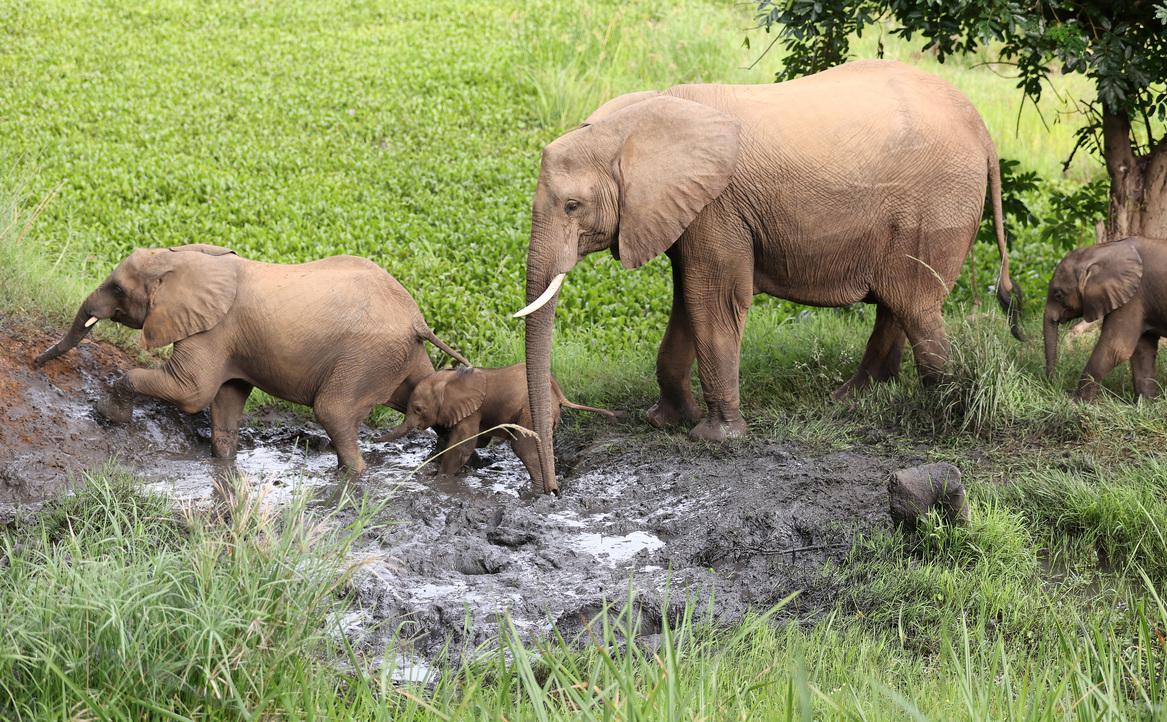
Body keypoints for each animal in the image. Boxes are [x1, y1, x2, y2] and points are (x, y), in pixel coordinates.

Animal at [382, 361, 620, 492]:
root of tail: (558, 392)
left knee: (524, 447)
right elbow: (476, 441)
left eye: (418, 409)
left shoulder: (472, 410)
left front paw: (439, 481)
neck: (452, 378)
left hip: (529, 412)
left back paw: (534, 490)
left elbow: (463, 445)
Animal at [518, 59, 1022, 494]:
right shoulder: (689, 211)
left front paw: (715, 438)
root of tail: (984, 131)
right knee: (897, 302)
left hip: (935, 208)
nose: (552, 489)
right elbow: (686, 298)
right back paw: (854, 399)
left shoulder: (719, 207)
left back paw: (940, 412)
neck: (631, 124)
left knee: (914, 303)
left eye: (572, 206)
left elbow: (712, 298)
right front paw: (666, 420)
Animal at [1045, 235, 1162, 401]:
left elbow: (1115, 348)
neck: (1101, 250)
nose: (1055, 385)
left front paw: (1076, 401)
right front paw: (1145, 403)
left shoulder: (1134, 297)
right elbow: (1142, 349)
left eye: (1058, 295)